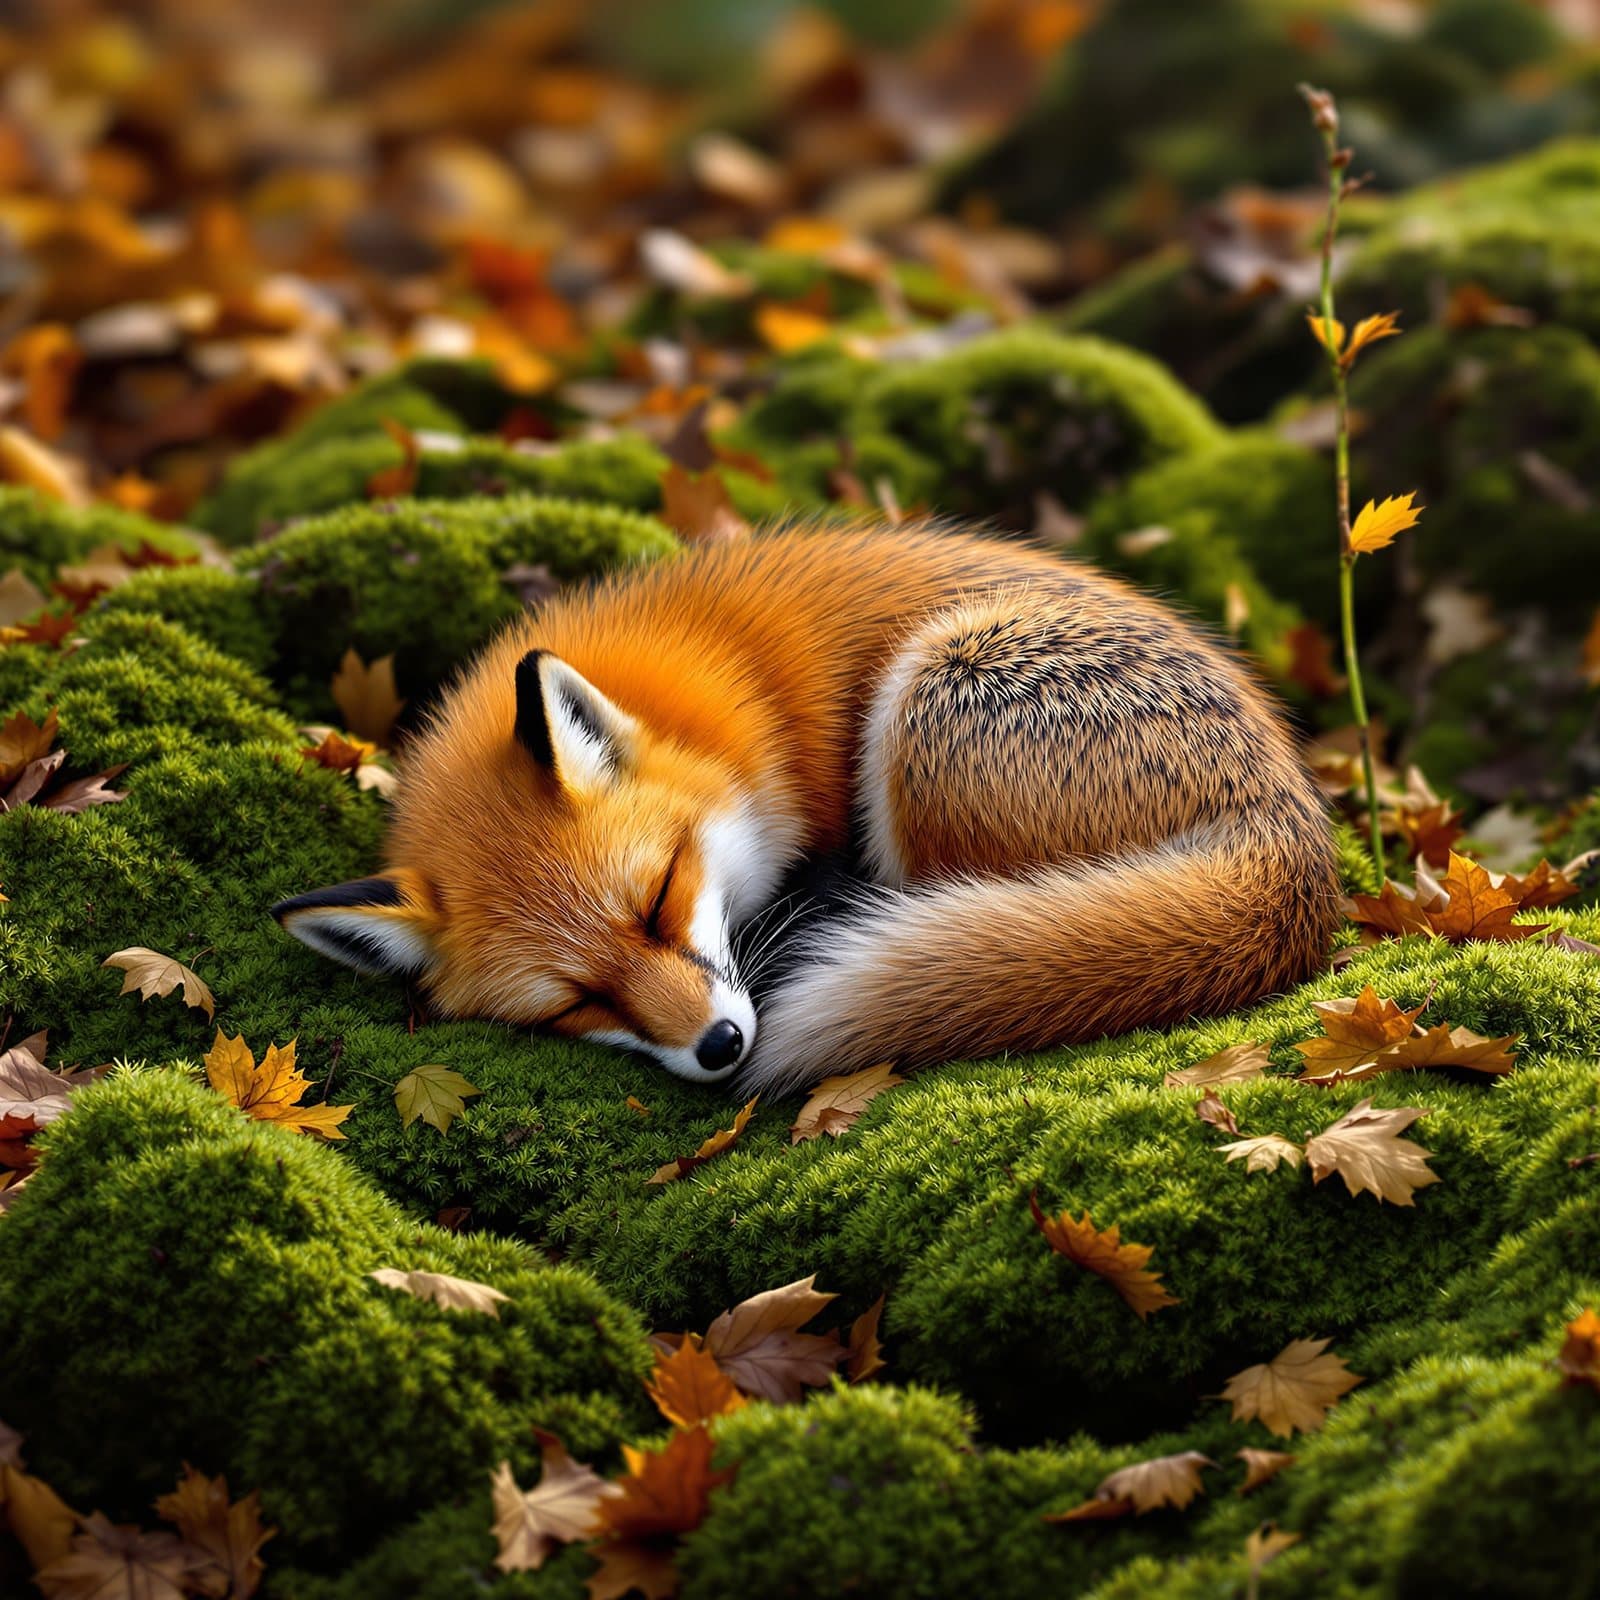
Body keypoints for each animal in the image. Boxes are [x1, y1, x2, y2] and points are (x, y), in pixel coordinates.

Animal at [274, 522, 1339, 1093]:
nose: (721, 1048)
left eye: (658, 899)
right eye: (575, 1003)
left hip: (935, 697)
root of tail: (1295, 823)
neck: (725, 719)